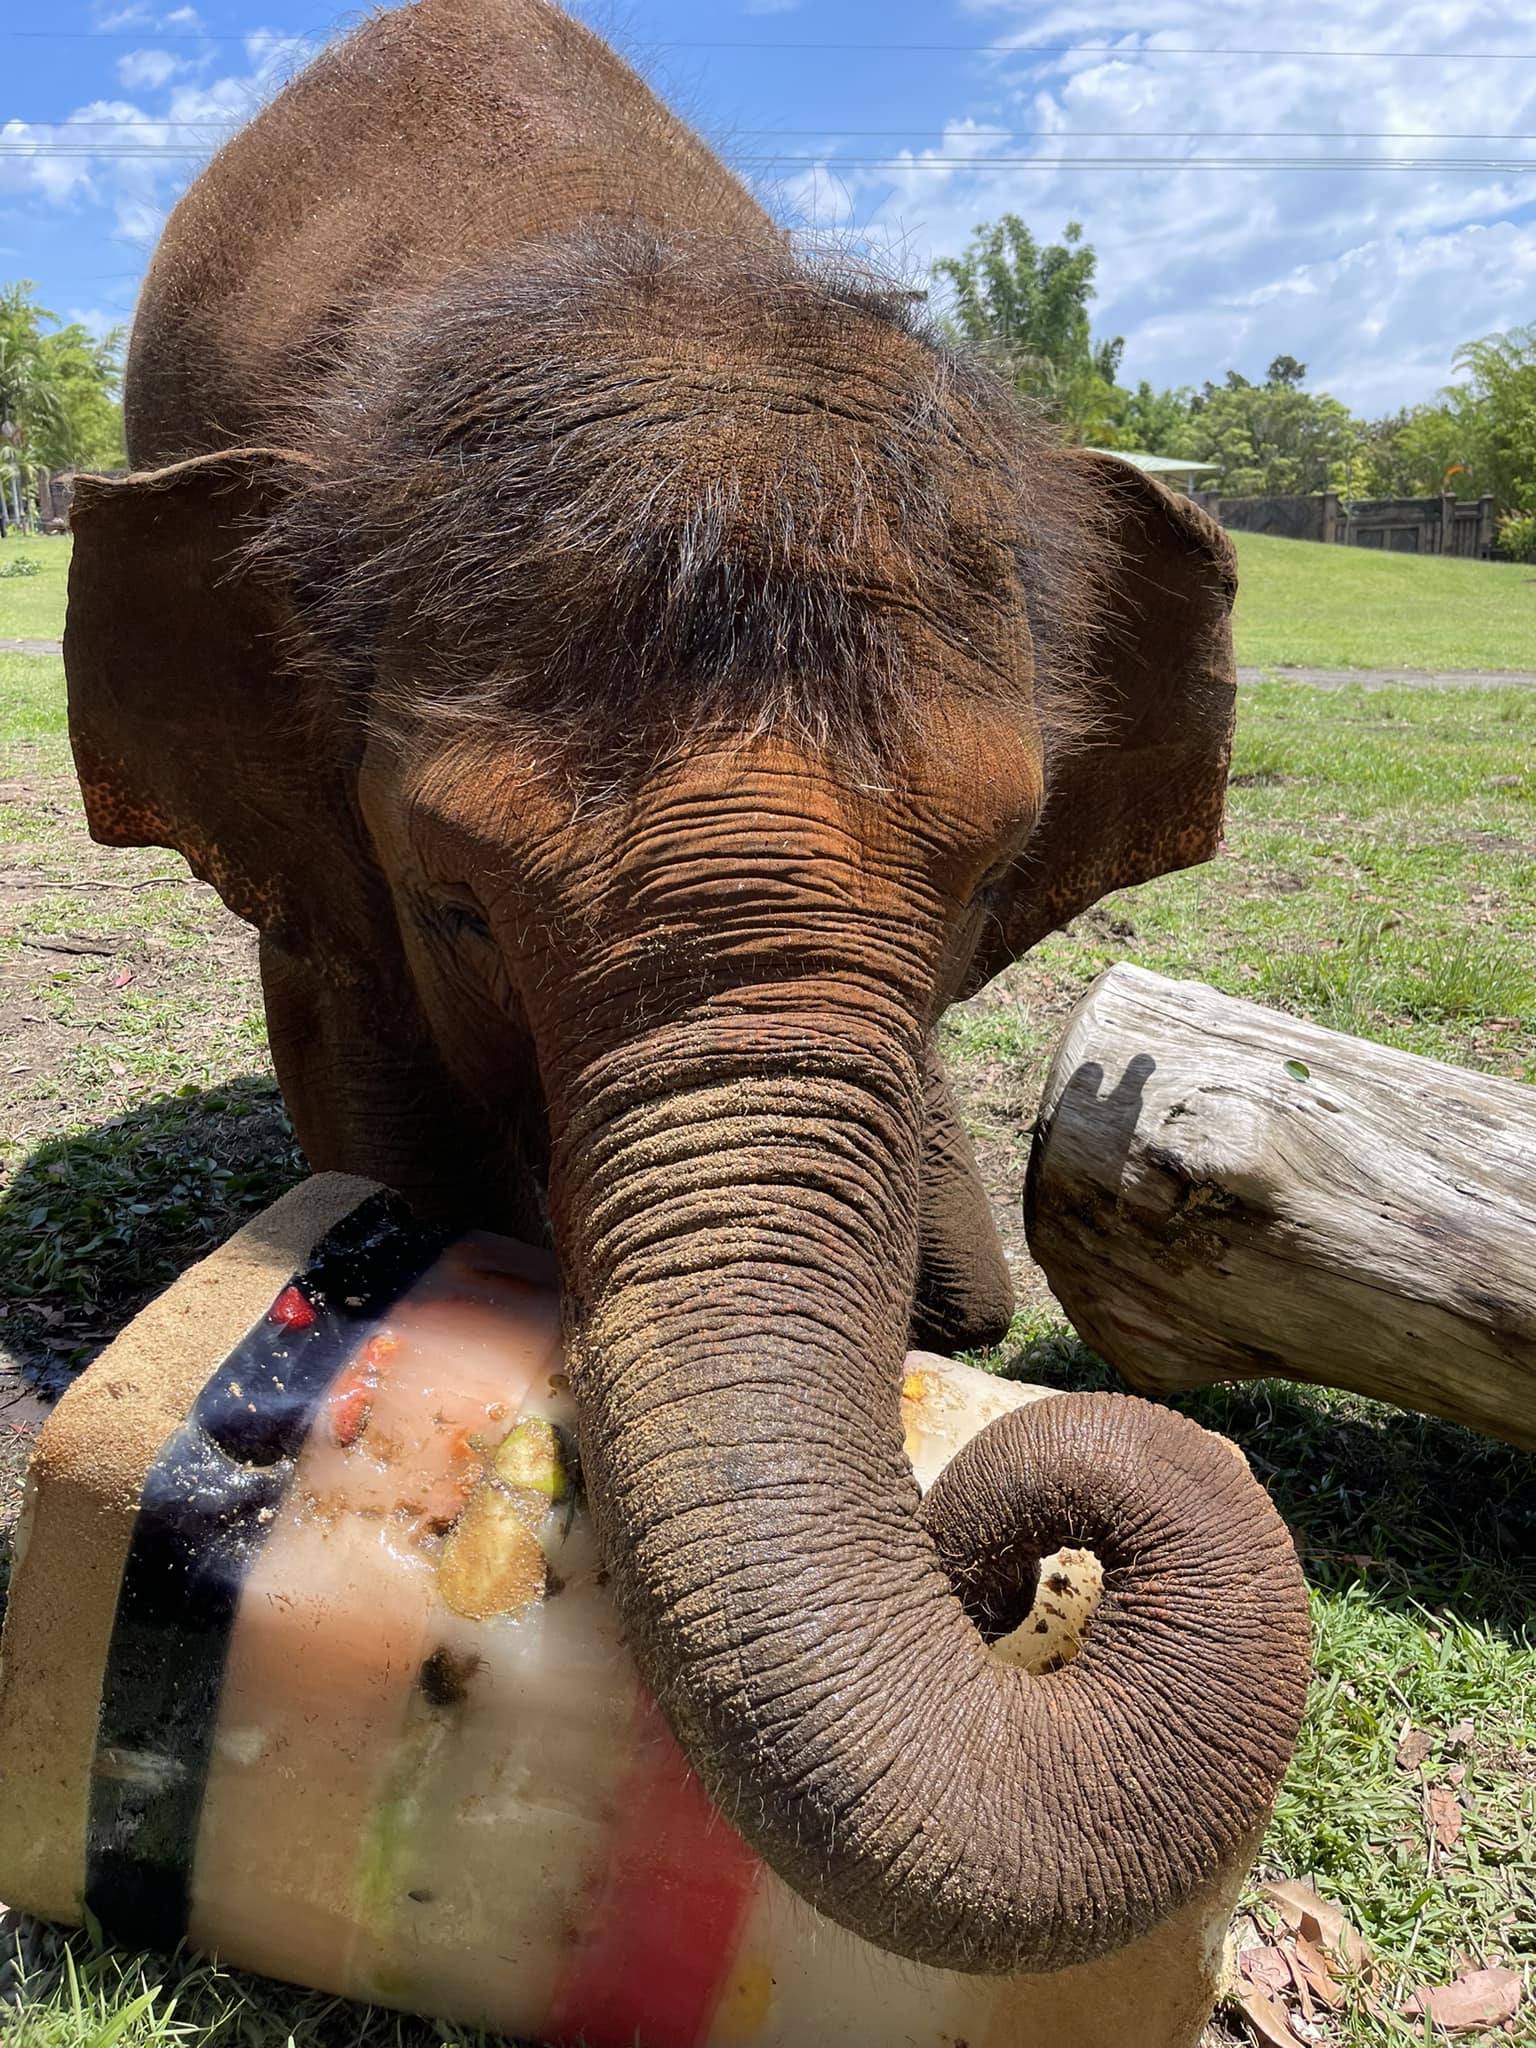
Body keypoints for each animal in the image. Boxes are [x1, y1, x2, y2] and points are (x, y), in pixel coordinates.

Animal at [63, 0, 1310, 1982]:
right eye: (455, 901)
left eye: (989, 880)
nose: (1032, 1552)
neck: (581, 250)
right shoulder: (327, 882)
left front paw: (945, 1292)